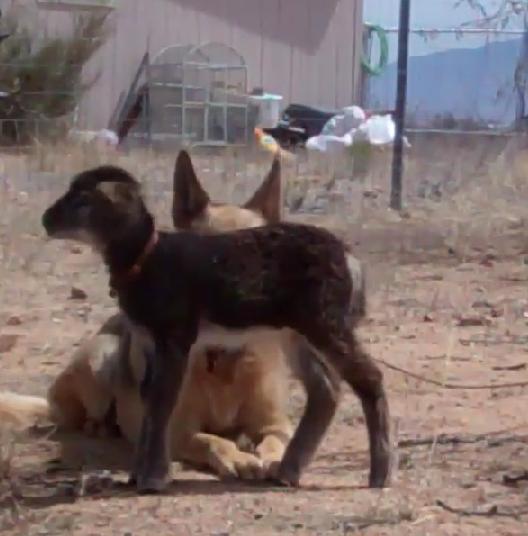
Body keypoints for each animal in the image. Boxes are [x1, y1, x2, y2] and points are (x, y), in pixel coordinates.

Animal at [0, 152, 292, 482]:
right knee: (82, 415)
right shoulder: (178, 431)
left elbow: (275, 441)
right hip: (104, 359)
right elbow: (213, 440)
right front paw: (238, 456)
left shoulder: (275, 424)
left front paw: (272, 459)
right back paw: (100, 426)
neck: (222, 361)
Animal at [42, 160, 392, 494]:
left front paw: (153, 478)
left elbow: (162, 404)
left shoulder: (175, 336)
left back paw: (381, 473)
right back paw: (288, 472)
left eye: (83, 199)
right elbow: (151, 405)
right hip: (298, 332)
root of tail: (350, 259)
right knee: (326, 389)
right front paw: (138, 475)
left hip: (325, 323)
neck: (147, 259)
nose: (46, 220)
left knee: (369, 378)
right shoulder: (151, 344)